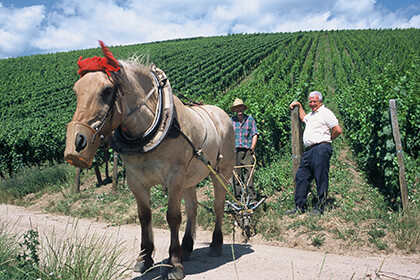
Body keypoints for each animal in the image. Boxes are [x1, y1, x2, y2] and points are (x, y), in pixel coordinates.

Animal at [63, 40, 235, 278]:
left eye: (107, 90)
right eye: (76, 90)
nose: (78, 142)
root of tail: (221, 113)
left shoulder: (174, 177)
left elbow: (173, 217)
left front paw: (174, 264)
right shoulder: (136, 181)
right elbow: (144, 216)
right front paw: (145, 258)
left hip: (220, 172)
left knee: (218, 205)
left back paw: (216, 244)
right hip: (189, 178)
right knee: (192, 208)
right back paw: (187, 247)